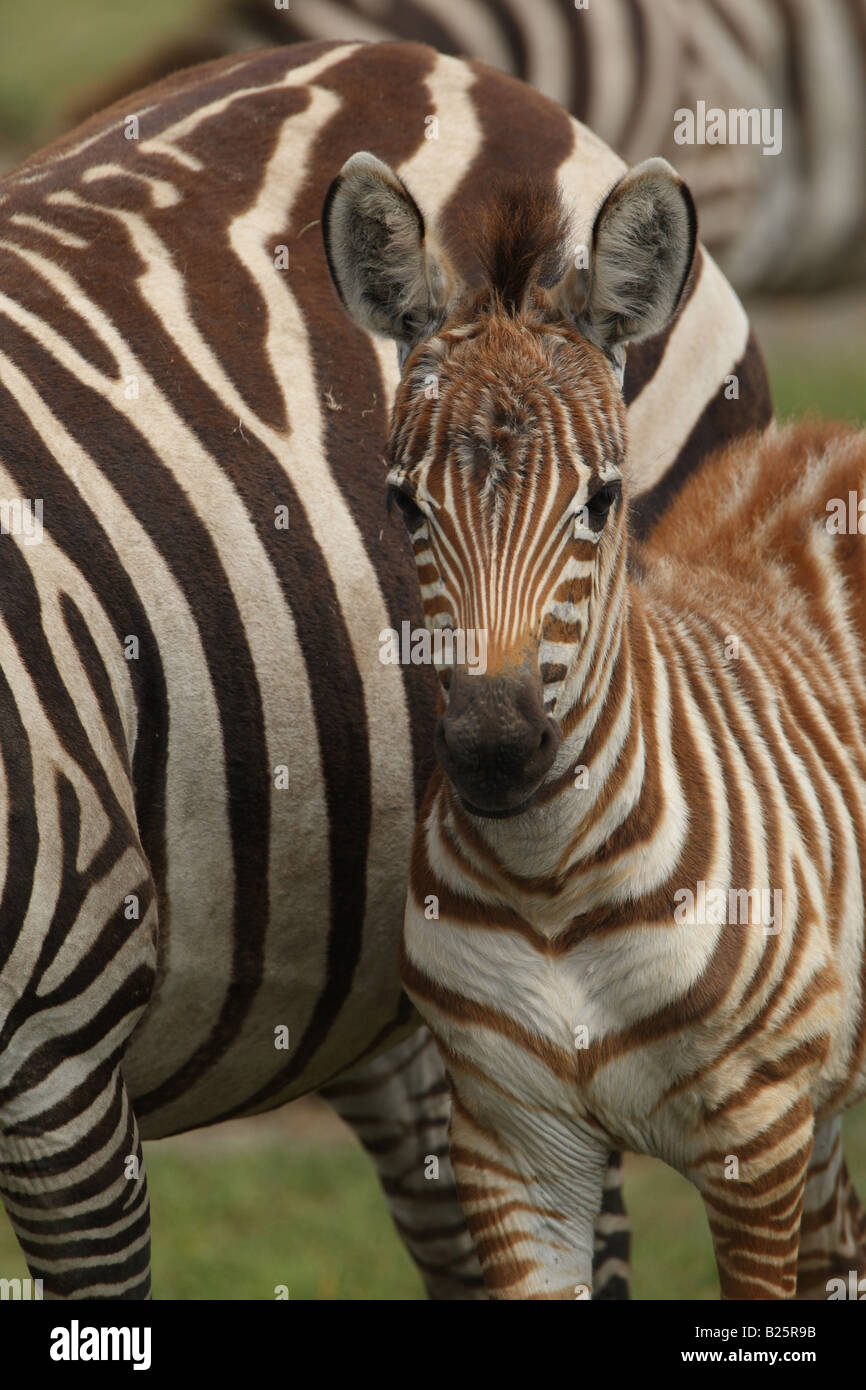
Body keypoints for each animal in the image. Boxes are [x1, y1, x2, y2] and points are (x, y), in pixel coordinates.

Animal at [323, 146, 866, 1299]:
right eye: (403, 504)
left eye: (603, 499)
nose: (492, 751)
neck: (550, 883)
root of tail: (828, 437)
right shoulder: (510, 1144)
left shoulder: (754, 1136)